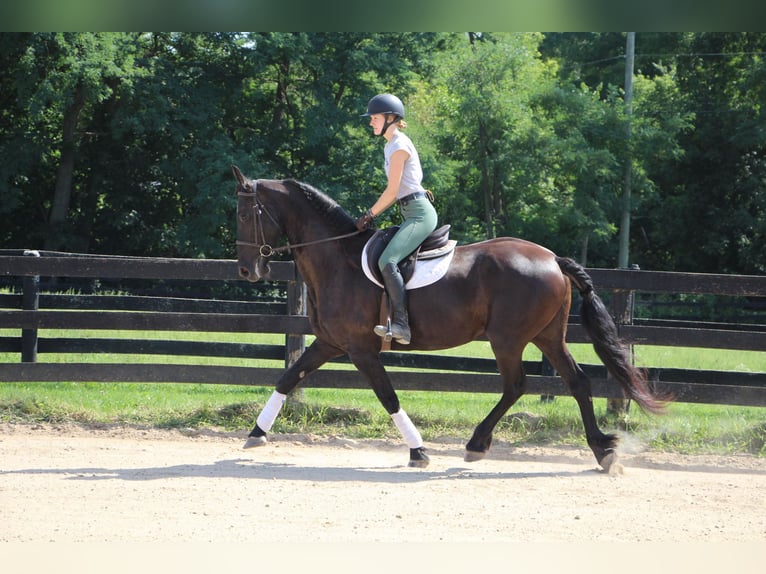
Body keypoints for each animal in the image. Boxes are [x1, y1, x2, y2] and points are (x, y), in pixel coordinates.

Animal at [232, 166, 664, 472]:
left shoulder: (361, 350)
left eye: (246, 214)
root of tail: (553, 258)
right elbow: (288, 378)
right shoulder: (330, 343)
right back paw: (602, 451)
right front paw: (256, 433)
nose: (248, 271)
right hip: (547, 336)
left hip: (508, 339)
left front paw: (418, 451)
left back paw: (477, 445)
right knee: (576, 382)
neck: (337, 259)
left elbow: (388, 396)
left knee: (516, 385)